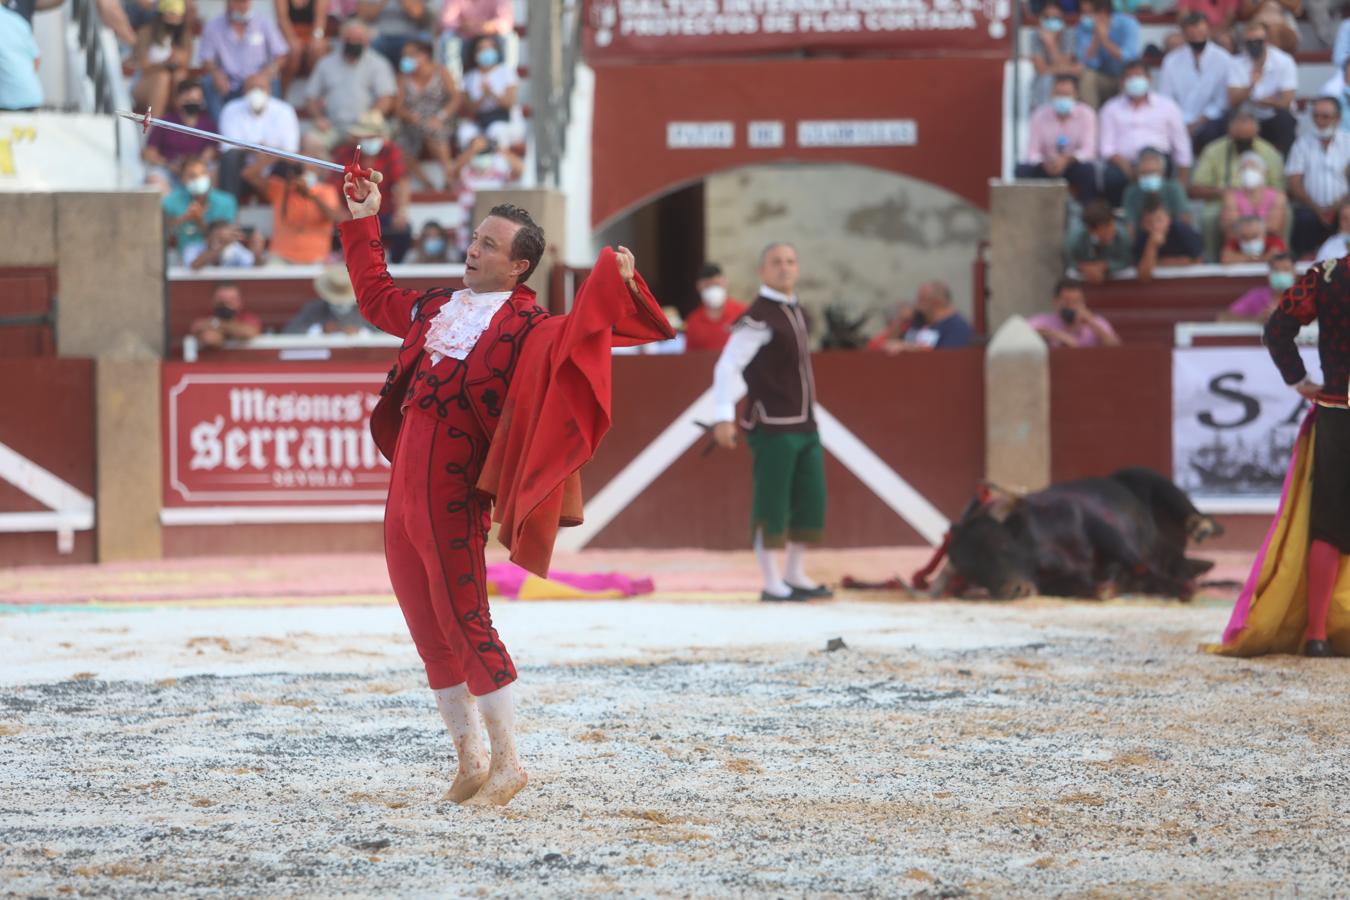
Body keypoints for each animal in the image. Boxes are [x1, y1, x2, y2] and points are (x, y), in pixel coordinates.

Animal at [918, 469, 1225, 601]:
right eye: (973, 573)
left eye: (1003, 544)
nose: (1014, 590)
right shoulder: (1056, 584)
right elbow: (1096, 588)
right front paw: (1113, 585)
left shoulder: (1106, 530)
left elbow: (1137, 562)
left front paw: (1183, 589)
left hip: (1148, 478)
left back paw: (1202, 529)